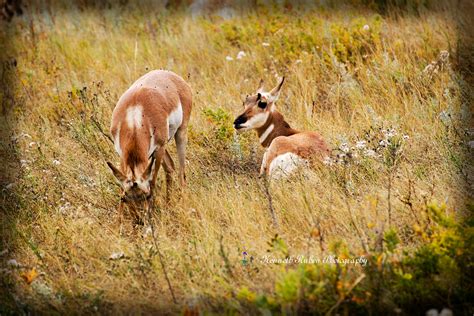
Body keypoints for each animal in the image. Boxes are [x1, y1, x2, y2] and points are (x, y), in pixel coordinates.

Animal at [106, 70, 192, 221]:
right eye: (125, 199)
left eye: (146, 196)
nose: (139, 221)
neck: (135, 120)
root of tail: (172, 76)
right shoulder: (122, 155)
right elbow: (122, 185)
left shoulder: (158, 149)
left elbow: (152, 181)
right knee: (170, 166)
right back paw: (168, 205)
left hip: (180, 134)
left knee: (181, 172)